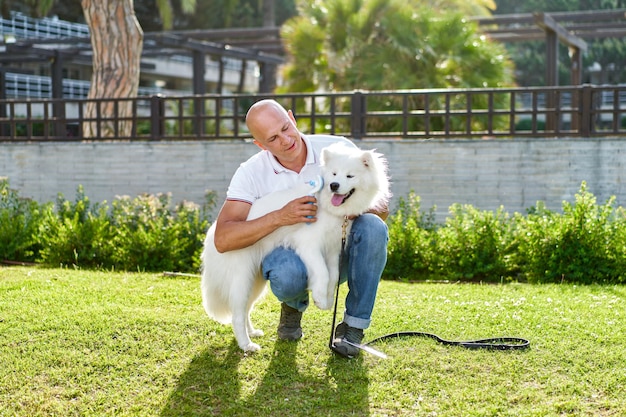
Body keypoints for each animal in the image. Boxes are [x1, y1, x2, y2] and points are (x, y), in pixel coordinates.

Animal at [200, 143, 388, 352]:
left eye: (349, 176)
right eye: (334, 174)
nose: (334, 185)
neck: (328, 208)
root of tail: (213, 235)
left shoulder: (333, 251)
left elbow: (332, 277)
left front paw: (327, 300)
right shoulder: (309, 245)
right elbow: (322, 273)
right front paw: (320, 298)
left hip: (254, 282)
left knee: (244, 310)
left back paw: (252, 333)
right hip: (242, 278)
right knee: (237, 315)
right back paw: (247, 345)